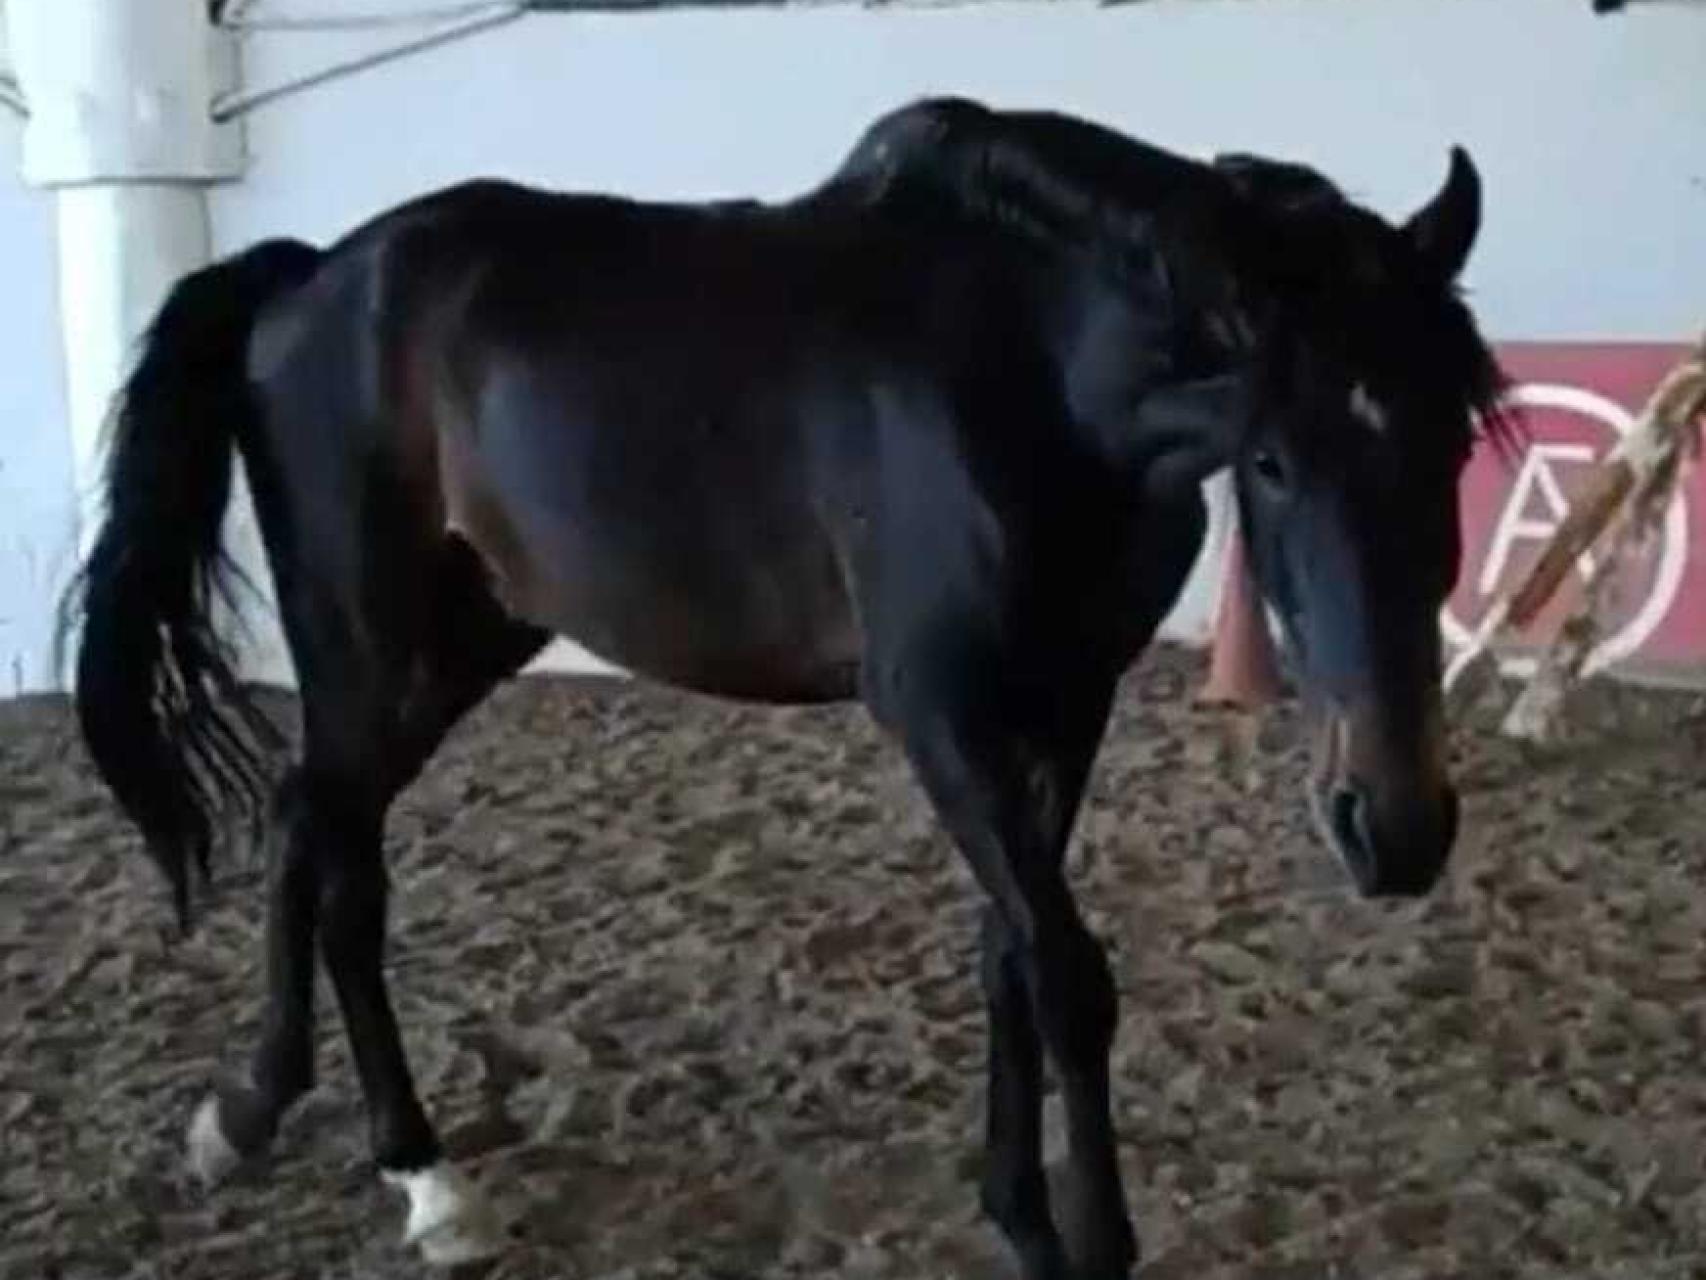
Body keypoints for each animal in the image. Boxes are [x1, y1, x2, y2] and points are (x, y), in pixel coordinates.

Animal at [58, 95, 1509, 1278]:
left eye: (1451, 440)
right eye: (1269, 459)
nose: (1394, 828)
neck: (1023, 370)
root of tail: (305, 280)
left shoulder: (1064, 706)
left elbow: (1006, 954)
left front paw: (1020, 1217)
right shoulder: (940, 714)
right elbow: (1065, 972)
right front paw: (1092, 1243)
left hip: (459, 645)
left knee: (311, 824)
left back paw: (284, 1122)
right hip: (366, 643)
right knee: (334, 846)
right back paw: (402, 1167)